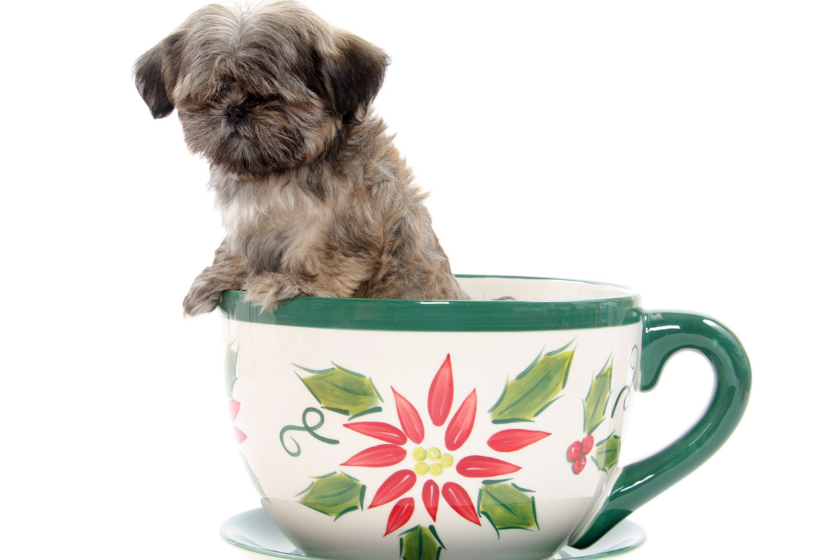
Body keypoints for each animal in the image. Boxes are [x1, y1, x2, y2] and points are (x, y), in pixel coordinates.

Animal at [135, 0, 470, 316]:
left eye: (271, 97)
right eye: (211, 95)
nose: (234, 110)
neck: (281, 171)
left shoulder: (349, 217)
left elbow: (319, 252)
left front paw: (295, 282)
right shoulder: (245, 220)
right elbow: (240, 247)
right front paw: (220, 276)